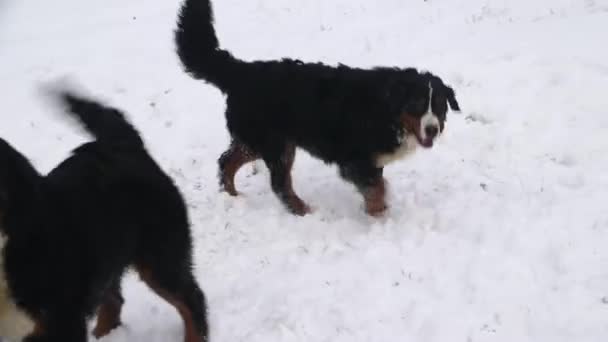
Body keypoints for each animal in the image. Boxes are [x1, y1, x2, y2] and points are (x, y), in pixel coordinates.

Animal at [176, 0, 460, 216]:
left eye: (439, 107)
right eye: (417, 105)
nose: (433, 129)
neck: (388, 110)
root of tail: (242, 71)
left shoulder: (372, 160)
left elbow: (378, 184)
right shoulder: (357, 159)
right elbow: (375, 188)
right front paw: (379, 216)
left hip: (258, 140)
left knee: (227, 161)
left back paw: (233, 196)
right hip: (275, 143)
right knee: (279, 183)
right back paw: (302, 210)